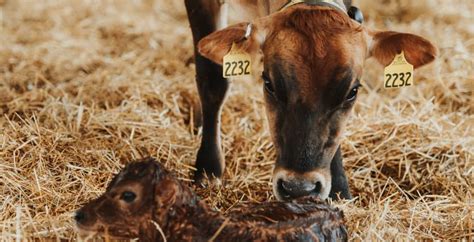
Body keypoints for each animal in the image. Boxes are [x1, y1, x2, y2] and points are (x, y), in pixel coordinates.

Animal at [183, 0, 436, 200]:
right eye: (269, 84)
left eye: (352, 92)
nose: (298, 188)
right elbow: (213, 80)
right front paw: (208, 168)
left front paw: (339, 191)